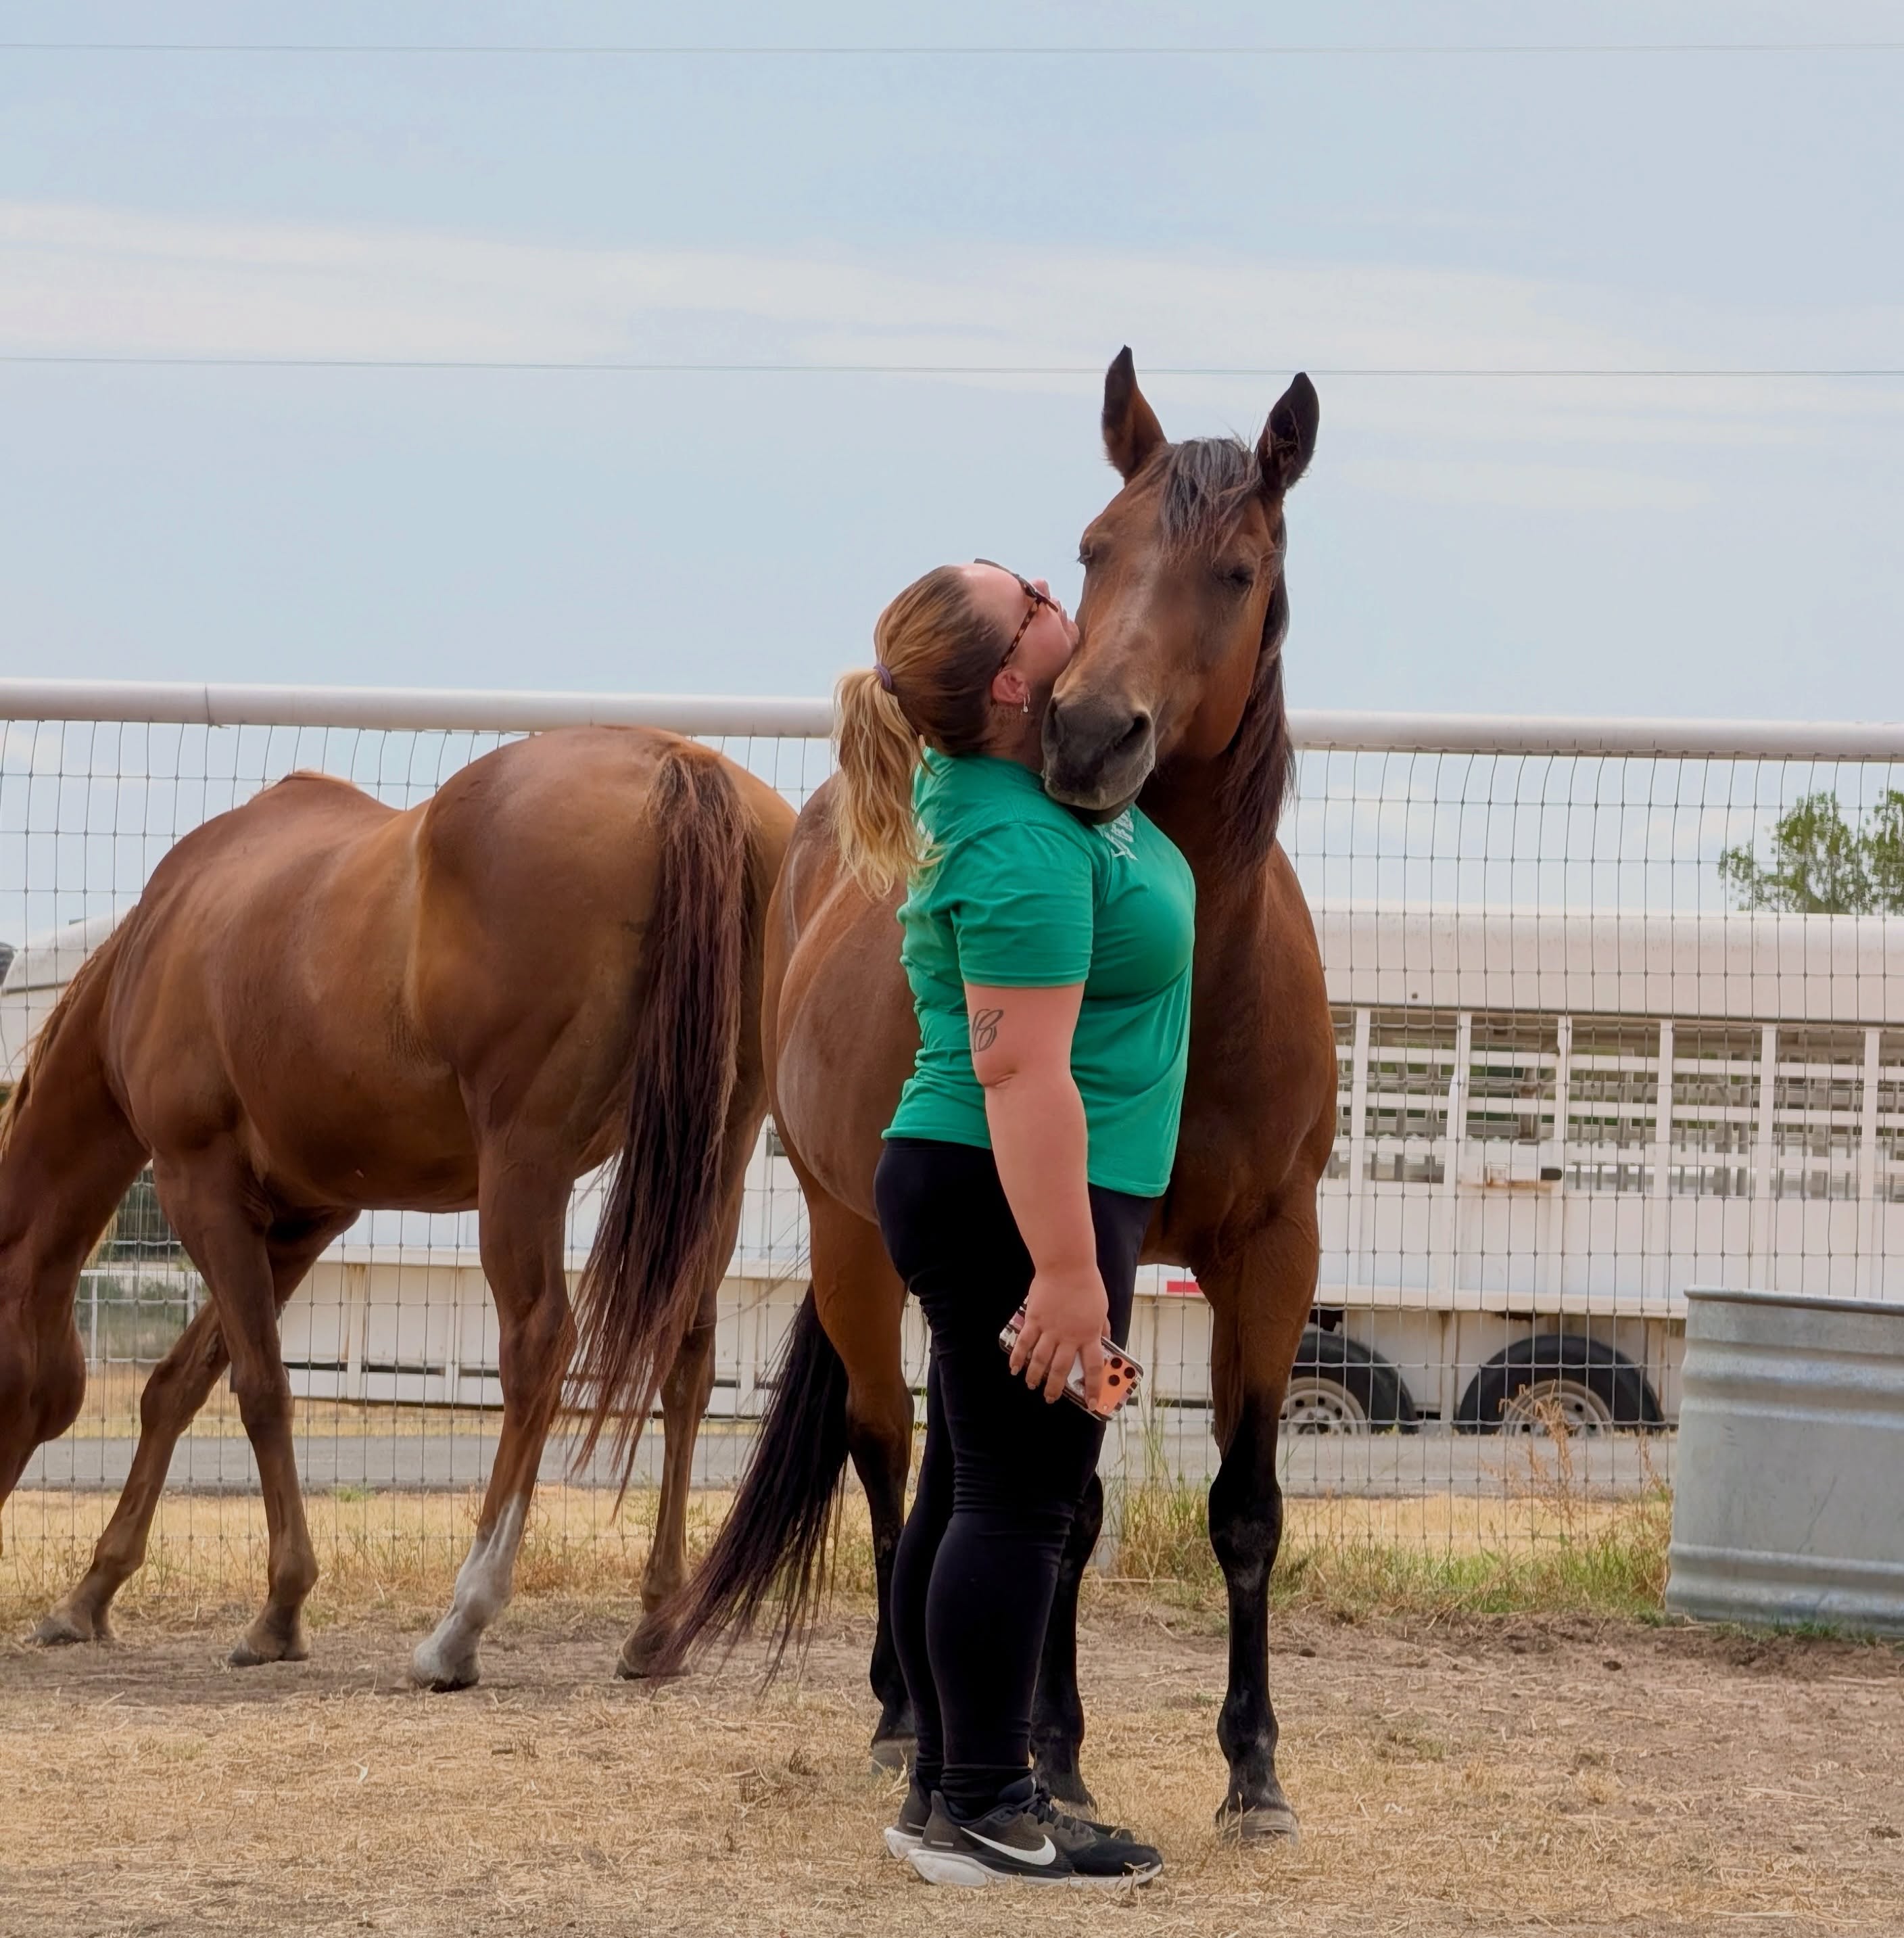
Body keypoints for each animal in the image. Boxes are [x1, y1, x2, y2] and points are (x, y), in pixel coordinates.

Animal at [0, 726, 794, 1690]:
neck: (164, 935)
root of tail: (677, 761)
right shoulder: (300, 1224)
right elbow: (178, 1386)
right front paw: (89, 1595)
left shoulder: (203, 1190)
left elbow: (259, 1388)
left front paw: (280, 1610)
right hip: (716, 1161)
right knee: (687, 1357)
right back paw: (656, 1625)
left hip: (525, 1168)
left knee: (538, 1347)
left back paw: (460, 1625)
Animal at [632, 350, 1334, 1841]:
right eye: (1094, 546)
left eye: (1238, 568)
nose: (1090, 730)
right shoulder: (1086, 1250)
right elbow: (1063, 1515)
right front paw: (1056, 1752)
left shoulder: (1273, 1253)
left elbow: (1246, 1506)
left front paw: (1253, 1769)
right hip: (853, 1238)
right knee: (887, 1450)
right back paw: (906, 1711)